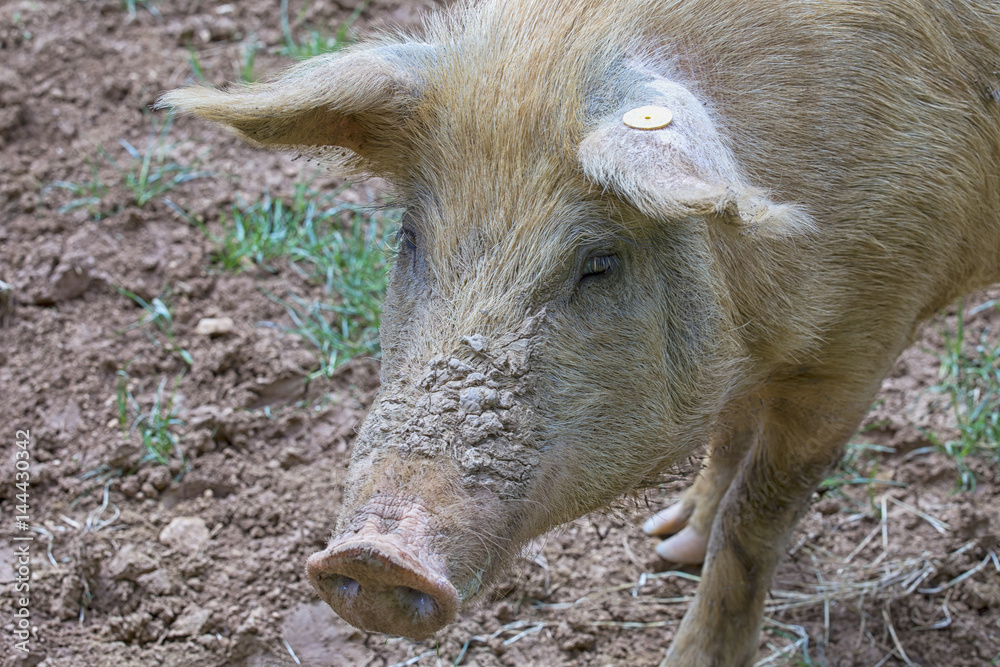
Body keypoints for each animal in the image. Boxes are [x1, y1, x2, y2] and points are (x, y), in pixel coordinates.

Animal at [160, 0, 1000, 663]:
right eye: (409, 237)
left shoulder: (864, 346)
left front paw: (687, 636)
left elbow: (756, 518)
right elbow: (729, 432)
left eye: (598, 262)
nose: (373, 557)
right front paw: (668, 541)